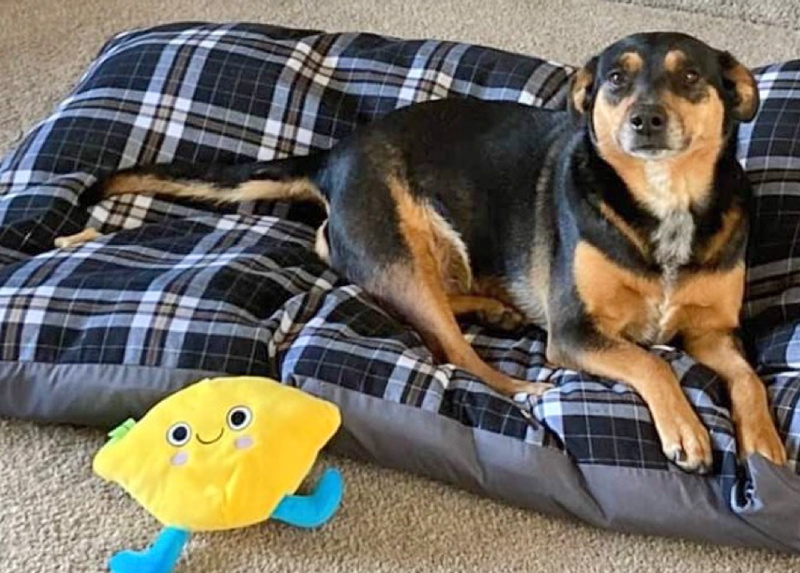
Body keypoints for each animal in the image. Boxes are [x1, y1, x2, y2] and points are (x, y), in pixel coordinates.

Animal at [56, 32, 787, 472]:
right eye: (615, 81)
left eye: (690, 78)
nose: (644, 120)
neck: (664, 199)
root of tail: (333, 156)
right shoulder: (577, 331)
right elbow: (653, 364)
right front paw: (687, 431)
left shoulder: (715, 332)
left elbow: (748, 377)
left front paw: (765, 443)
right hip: (401, 252)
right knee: (456, 352)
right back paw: (521, 383)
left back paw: (497, 311)